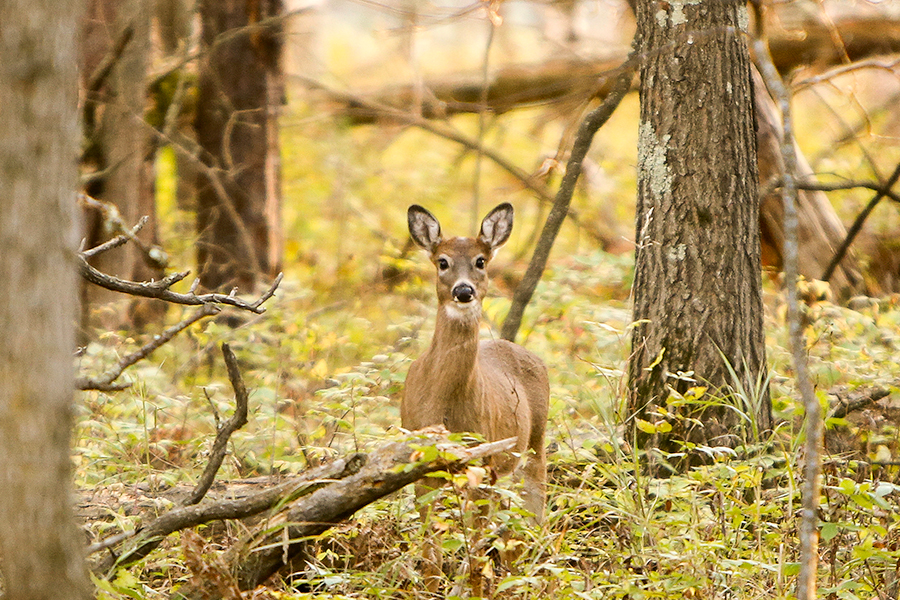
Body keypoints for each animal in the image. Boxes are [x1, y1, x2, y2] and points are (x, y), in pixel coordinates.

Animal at [404, 204, 552, 588]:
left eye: (481, 260)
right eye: (442, 261)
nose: (463, 290)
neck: (444, 404)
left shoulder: (483, 463)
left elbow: (473, 554)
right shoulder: (420, 467)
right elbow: (431, 556)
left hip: (533, 445)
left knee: (530, 524)